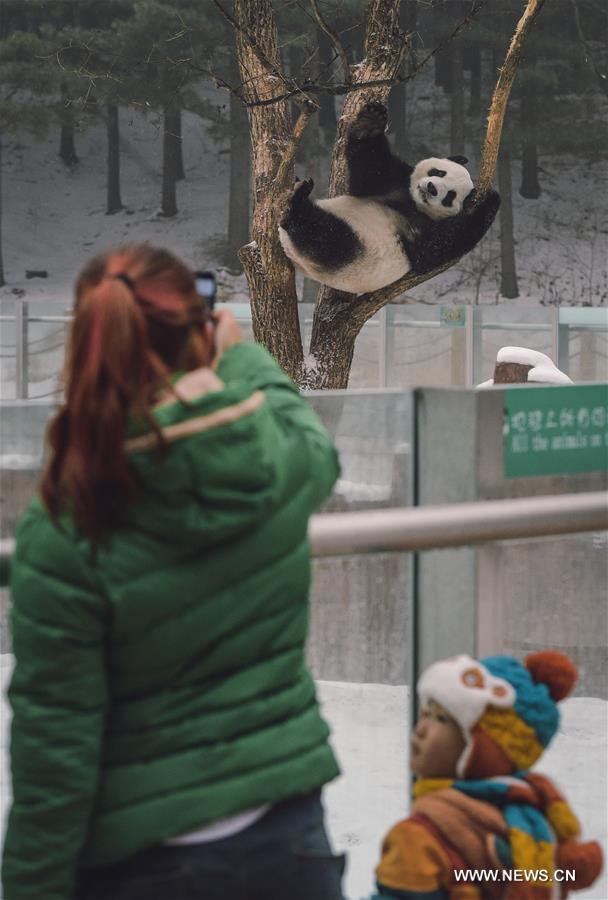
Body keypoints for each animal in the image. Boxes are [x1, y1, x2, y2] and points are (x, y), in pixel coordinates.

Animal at [280, 102, 498, 294]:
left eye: (450, 196)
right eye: (439, 172)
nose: (431, 188)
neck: (413, 204)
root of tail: (291, 252)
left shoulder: (422, 233)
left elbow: (439, 246)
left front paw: (491, 200)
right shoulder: (395, 182)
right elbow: (370, 171)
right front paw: (371, 122)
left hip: (350, 250)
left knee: (324, 237)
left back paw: (297, 205)